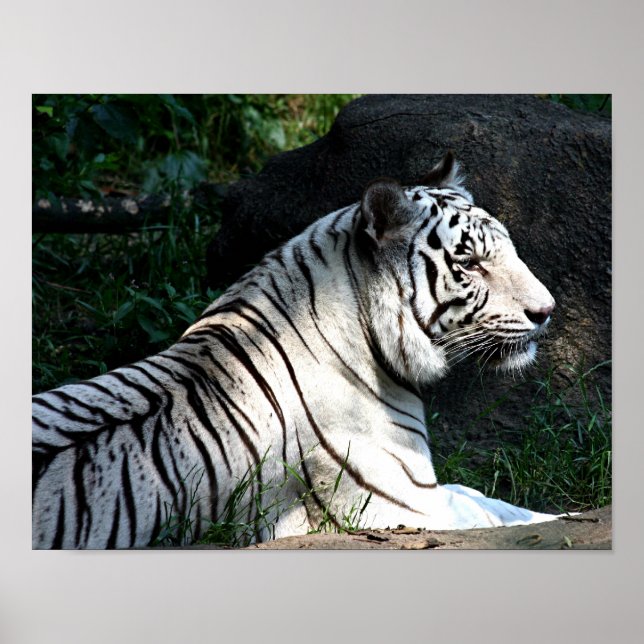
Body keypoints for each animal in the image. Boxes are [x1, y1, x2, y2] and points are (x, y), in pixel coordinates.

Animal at [32, 151, 558, 549]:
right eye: (469, 263)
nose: (547, 310)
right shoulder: (404, 504)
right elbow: (495, 515)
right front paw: (555, 516)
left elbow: (485, 496)